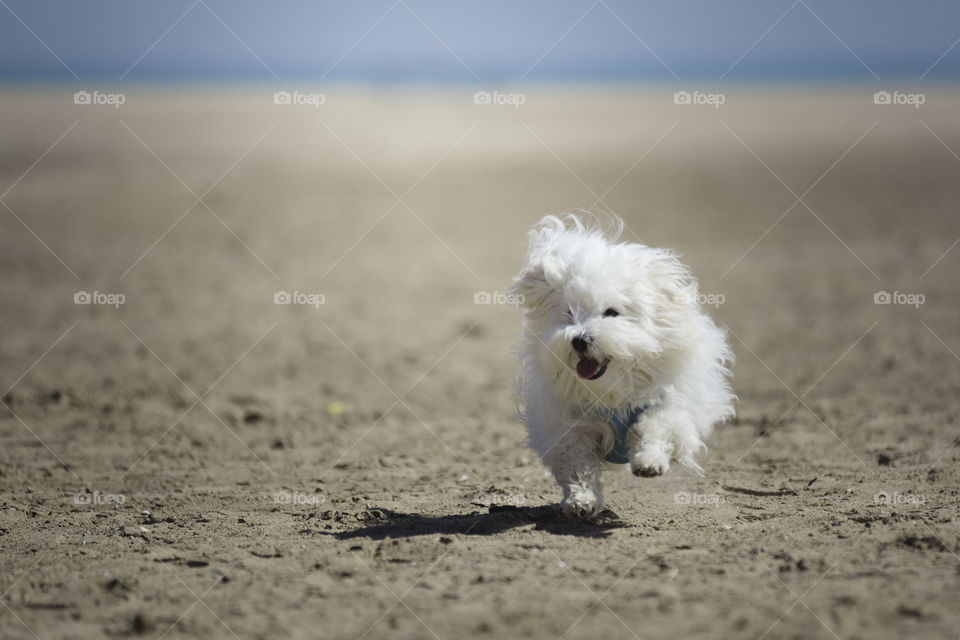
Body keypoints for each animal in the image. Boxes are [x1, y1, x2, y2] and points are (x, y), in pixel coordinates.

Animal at [510, 215, 736, 520]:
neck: (612, 388)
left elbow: (654, 427)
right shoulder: (569, 426)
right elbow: (578, 465)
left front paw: (649, 462)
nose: (579, 340)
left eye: (612, 313)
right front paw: (581, 501)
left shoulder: (666, 405)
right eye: (570, 313)